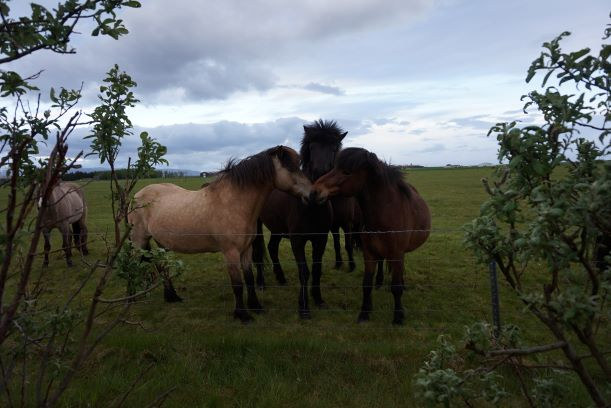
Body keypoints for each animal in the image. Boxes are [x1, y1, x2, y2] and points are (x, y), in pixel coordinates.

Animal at [128, 146, 310, 322]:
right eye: (291, 166)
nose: (311, 193)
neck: (233, 203)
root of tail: (136, 196)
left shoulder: (246, 249)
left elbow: (249, 279)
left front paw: (256, 306)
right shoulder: (231, 252)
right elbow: (237, 285)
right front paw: (242, 315)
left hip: (162, 243)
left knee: (162, 266)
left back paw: (172, 297)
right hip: (138, 241)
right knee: (133, 265)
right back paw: (131, 301)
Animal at [253, 119, 346, 320]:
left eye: (334, 147)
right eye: (312, 146)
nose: (320, 172)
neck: (311, 206)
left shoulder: (320, 239)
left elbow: (317, 269)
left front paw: (318, 299)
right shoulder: (297, 241)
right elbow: (304, 271)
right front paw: (303, 307)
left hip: (277, 228)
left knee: (272, 248)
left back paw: (281, 278)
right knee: (257, 253)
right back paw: (261, 283)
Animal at [314, 147, 432, 326]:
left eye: (346, 172)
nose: (315, 190)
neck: (386, 213)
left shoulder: (397, 254)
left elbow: (396, 288)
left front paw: (398, 317)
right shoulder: (369, 254)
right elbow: (366, 284)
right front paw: (364, 313)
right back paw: (380, 281)